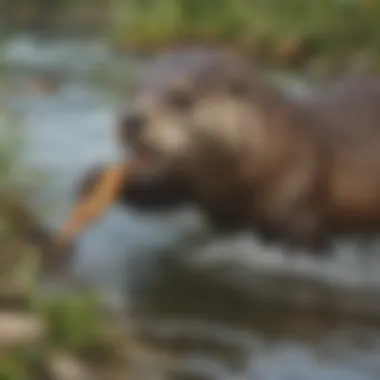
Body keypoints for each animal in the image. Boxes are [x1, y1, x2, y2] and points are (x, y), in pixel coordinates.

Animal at [52, 48, 380, 255]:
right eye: (132, 90)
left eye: (181, 98)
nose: (131, 119)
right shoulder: (190, 181)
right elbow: (160, 195)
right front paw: (94, 178)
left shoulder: (299, 187)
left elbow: (309, 239)